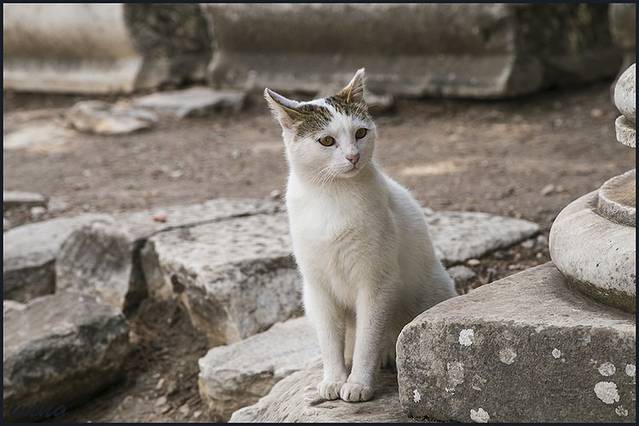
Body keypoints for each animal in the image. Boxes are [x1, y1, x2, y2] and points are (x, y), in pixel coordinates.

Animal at [264, 68, 456, 403]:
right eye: (327, 141)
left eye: (361, 133)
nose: (353, 156)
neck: (330, 196)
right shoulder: (318, 289)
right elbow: (330, 340)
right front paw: (334, 378)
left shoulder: (375, 283)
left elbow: (368, 339)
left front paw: (358, 384)